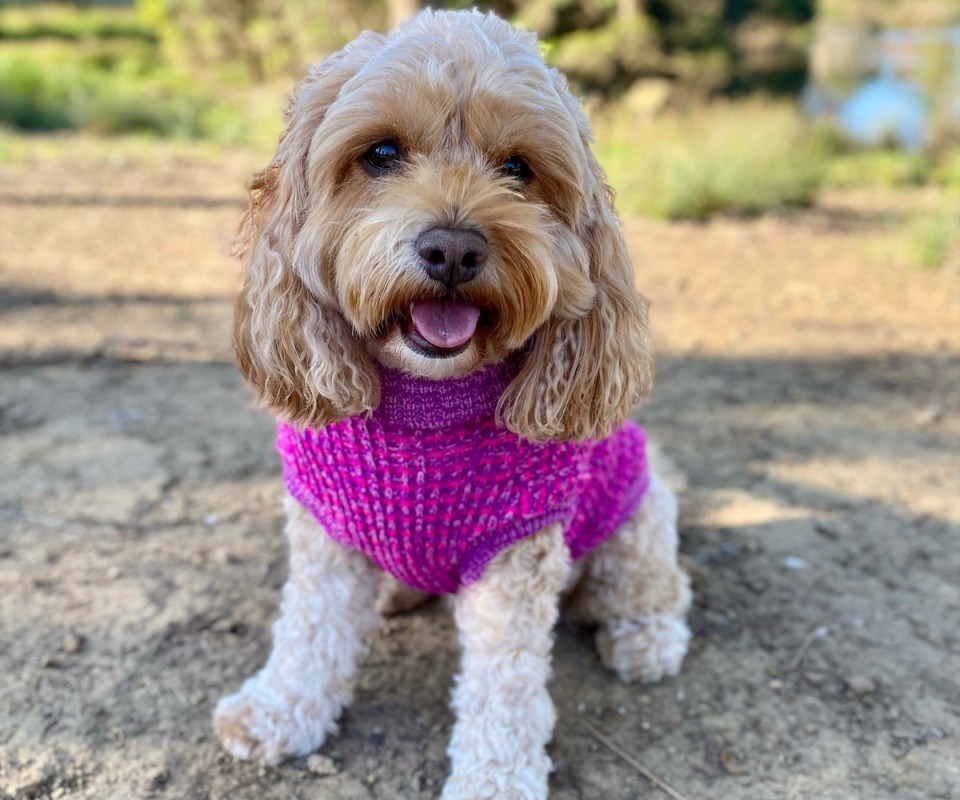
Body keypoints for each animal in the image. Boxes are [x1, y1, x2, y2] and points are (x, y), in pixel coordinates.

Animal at [212, 9, 688, 796]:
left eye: (518, 168)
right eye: (380, 153)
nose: (454, 249)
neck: (428, 400)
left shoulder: (514, 558)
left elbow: (503, 690)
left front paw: (494, 780)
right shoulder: (325, 530)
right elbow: (310, 630)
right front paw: (278, 710)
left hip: (635, 524)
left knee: (659, 586)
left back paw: (645, 638)